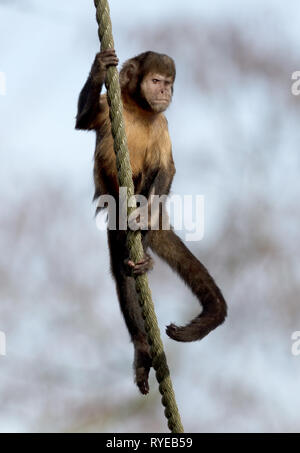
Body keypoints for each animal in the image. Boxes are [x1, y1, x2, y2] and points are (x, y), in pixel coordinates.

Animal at [75, 49, 227, 394]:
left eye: (168, 83)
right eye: (156, 81)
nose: (165, 92)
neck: (139, 108)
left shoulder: (162, 122)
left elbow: (166, 170)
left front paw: (142, 219)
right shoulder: (107, 106)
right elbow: (80, 121)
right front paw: (99, 67)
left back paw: (143, 239)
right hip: (115, 221)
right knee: (121, 271)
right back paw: (142, 347)